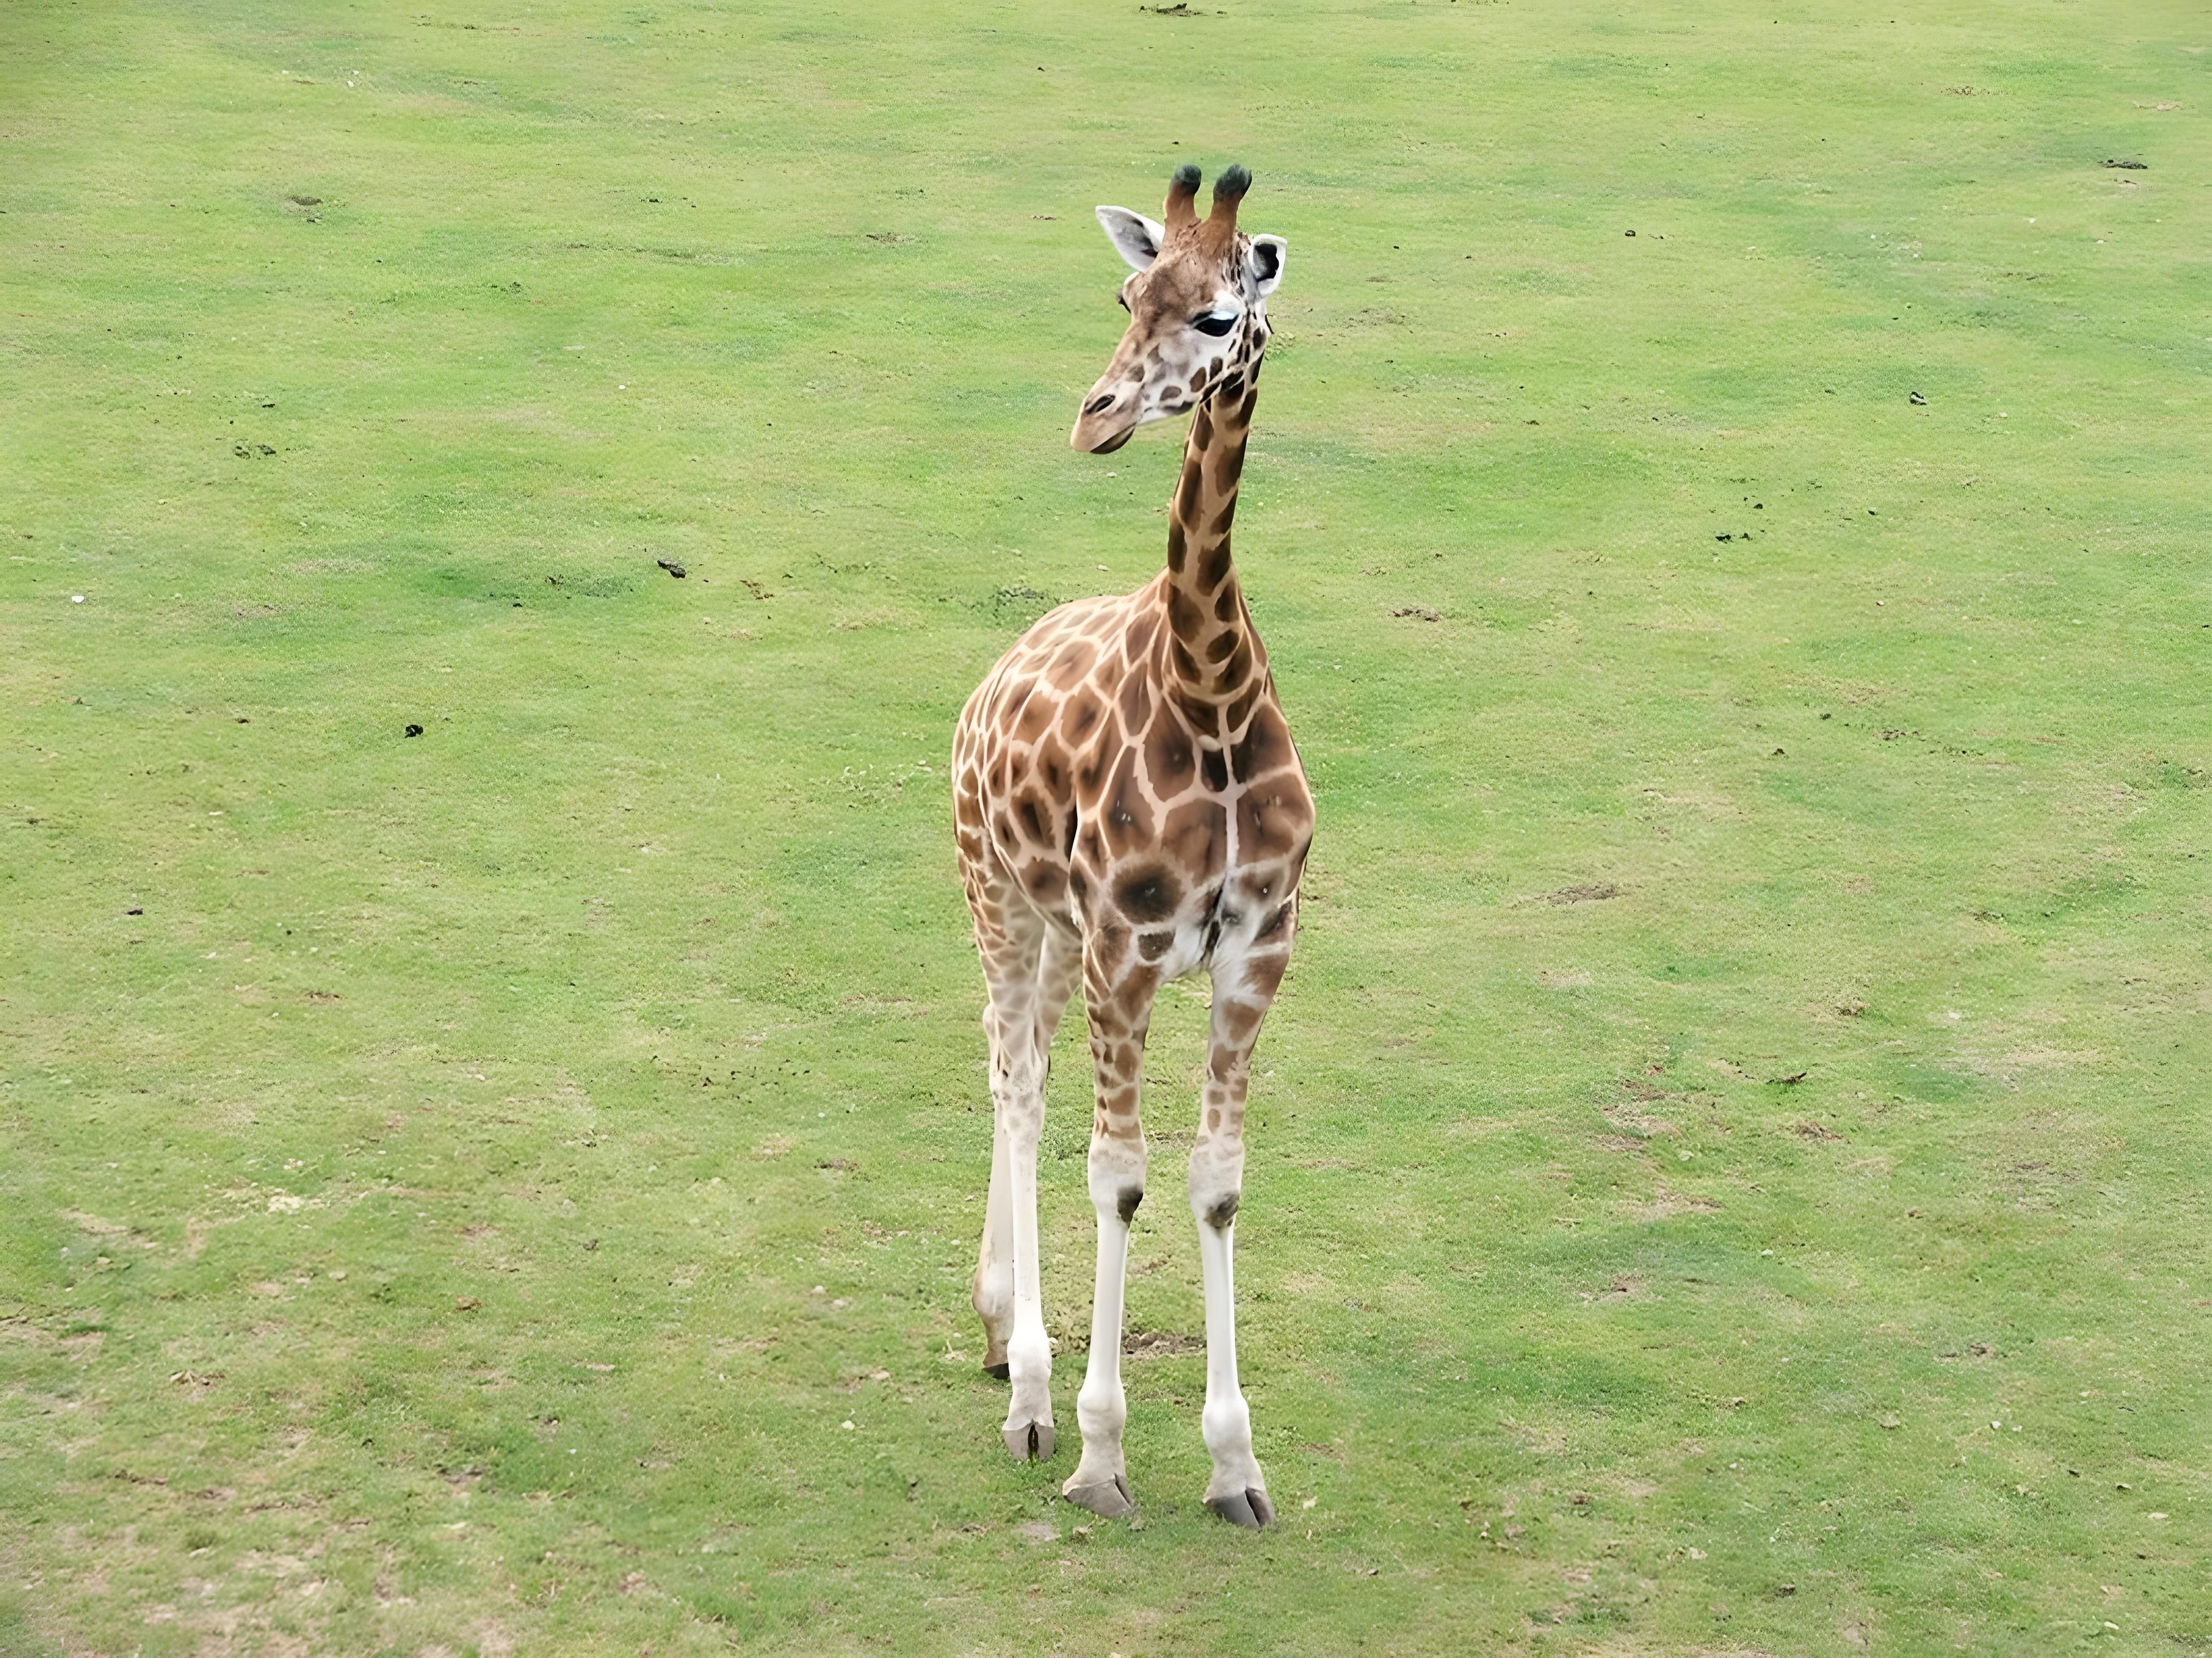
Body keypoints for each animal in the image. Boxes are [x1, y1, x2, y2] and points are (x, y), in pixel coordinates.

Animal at [951, 169, 1309, 1530]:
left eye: (1216, 316)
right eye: (1124, 296)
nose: (1092, 418)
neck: (1208, 697)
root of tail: (995, 670)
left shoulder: (1256, 950)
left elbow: (1212, 1181)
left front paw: (1235, 1466)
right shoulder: (1132, 945)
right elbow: (1117, 1175)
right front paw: (1101, 1452)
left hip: (1058, 933)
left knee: (1018, 1071)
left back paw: (1000, 1327)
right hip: (1000, 899)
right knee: (1015, 1084)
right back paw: (1029, 1386)